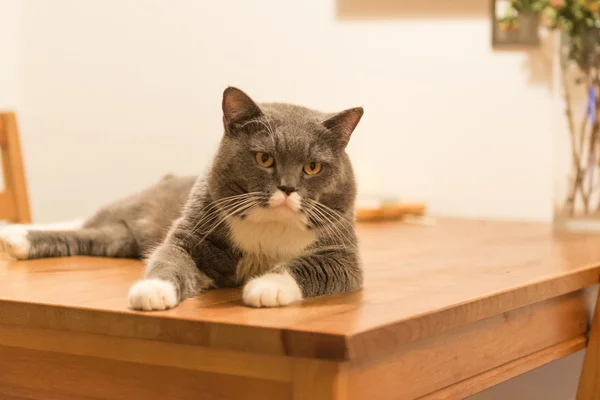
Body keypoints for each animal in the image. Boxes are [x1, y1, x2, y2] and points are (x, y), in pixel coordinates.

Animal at [0, 88, 364, 310]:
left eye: (312, 167)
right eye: (264, 159)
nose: (288, 189)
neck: (269, 228)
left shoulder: (343, 255)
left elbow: (309, 267)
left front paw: (266, 287)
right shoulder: (190, 236)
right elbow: (169, 258)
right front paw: (152, 291)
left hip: (122, 239)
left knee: (94, 232)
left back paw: (16, 239)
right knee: (90, 221)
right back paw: (14, 234)